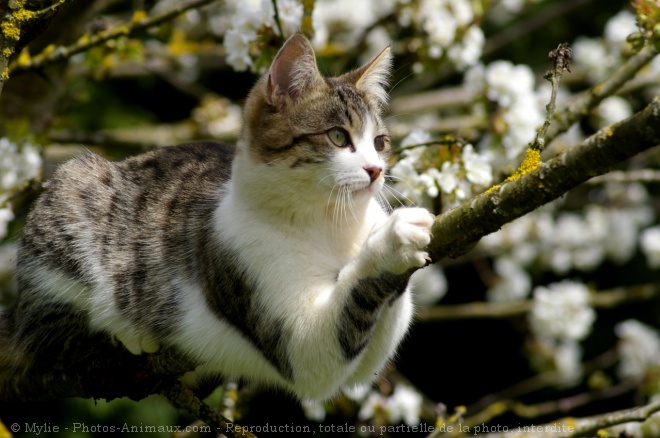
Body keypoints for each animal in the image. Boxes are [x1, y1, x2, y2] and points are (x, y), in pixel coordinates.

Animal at [2, 34, 436, 402]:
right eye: (338, 137)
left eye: (379, 143)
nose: (376, 170)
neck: (330, 222)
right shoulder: (263, 290)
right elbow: (319, 353)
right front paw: (393, 242)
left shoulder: (367, 355)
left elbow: (372, 348)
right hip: (72, 189)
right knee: (53, 337)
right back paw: (125, 334)